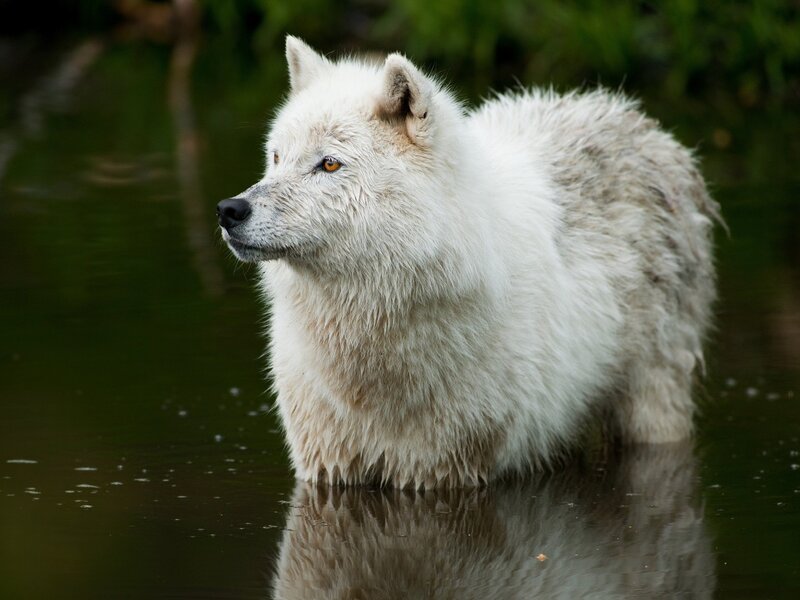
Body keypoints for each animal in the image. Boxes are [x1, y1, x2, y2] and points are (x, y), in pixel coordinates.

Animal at [217, 36, 720, 489]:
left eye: (329, 165)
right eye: (276, 157)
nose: (230, 210)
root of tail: (637, 120)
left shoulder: (448, 468)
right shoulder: (325, 464)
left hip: (652, 408)